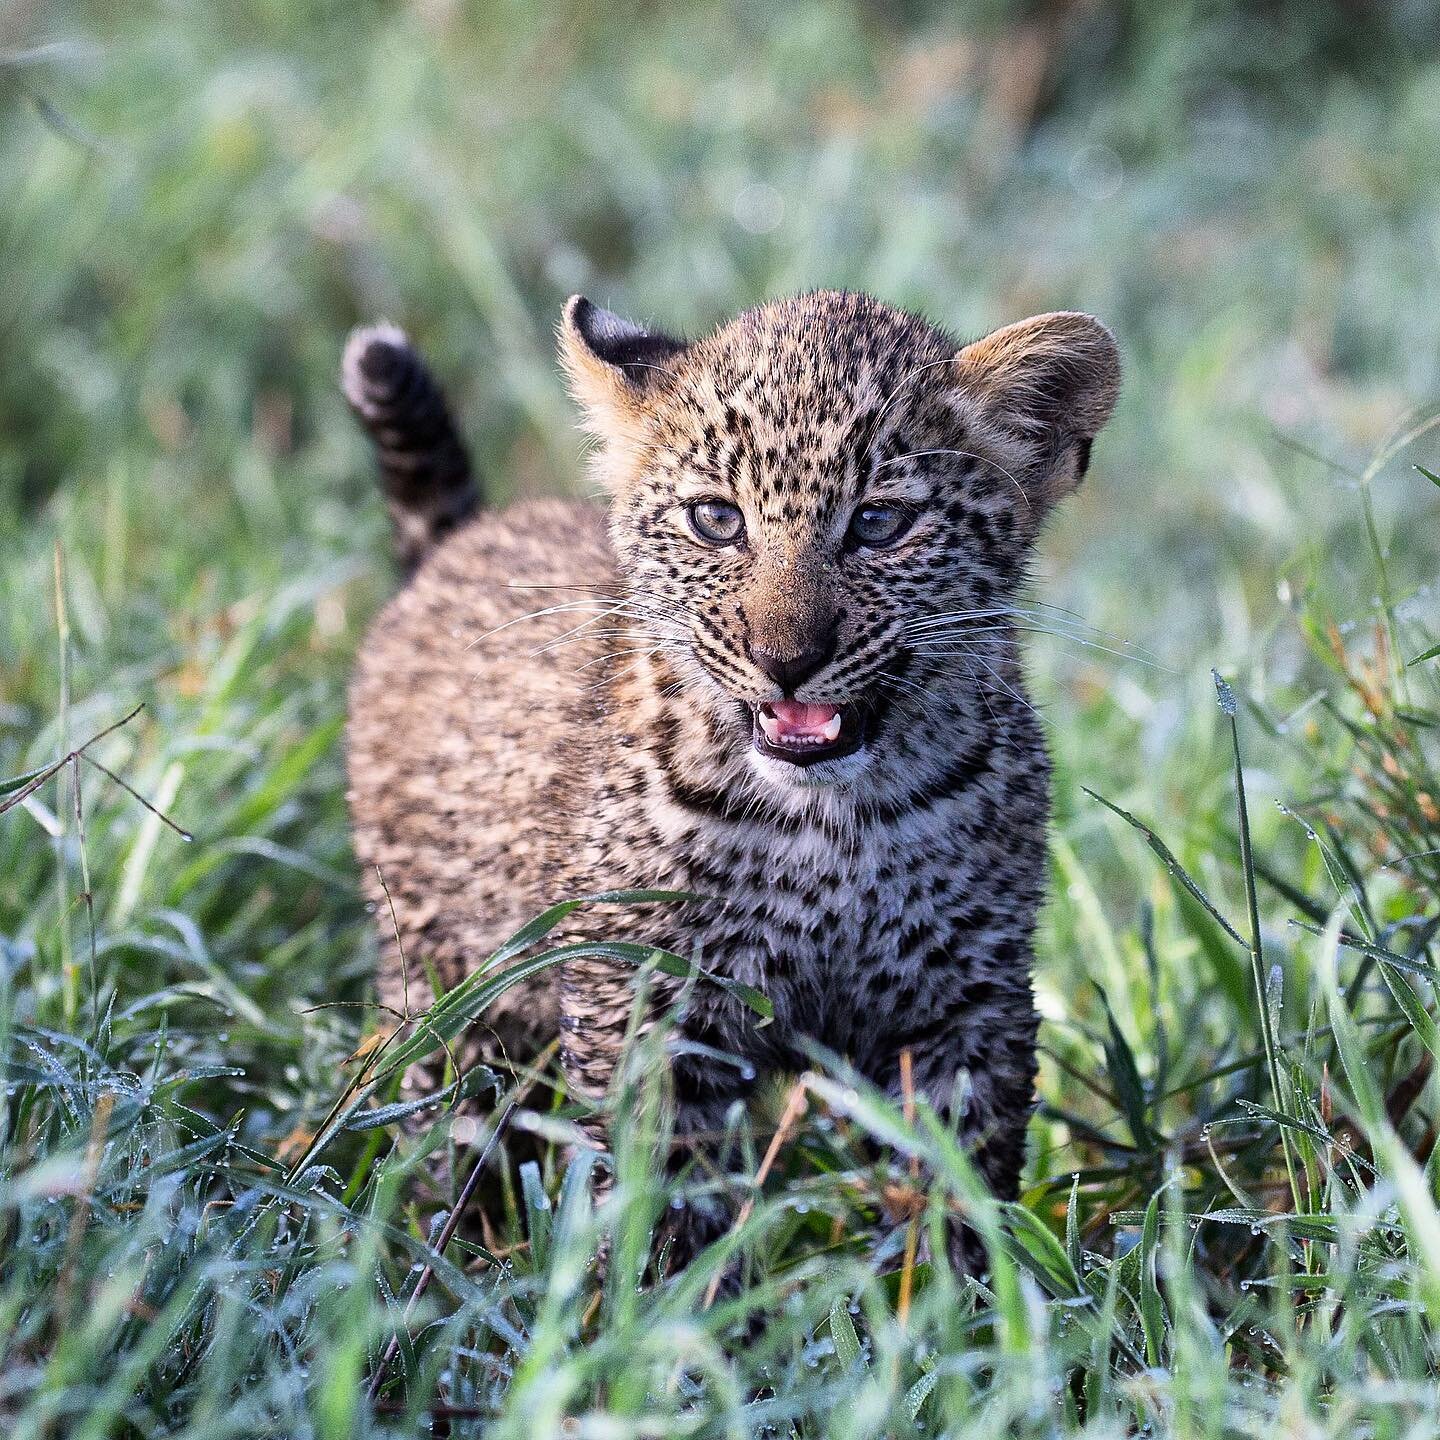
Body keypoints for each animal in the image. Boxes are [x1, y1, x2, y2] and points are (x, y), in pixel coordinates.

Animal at [342, 289, 1119, 1263]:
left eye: (879, 523)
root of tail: (459, 545)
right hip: (441, 975)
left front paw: (961, 1294)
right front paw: (657, 1295)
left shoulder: (966, 998)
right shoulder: (645, 1001)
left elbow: (956, 1184)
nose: (787, 661)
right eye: (717, 519)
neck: (831, 826)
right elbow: (659, 1188)